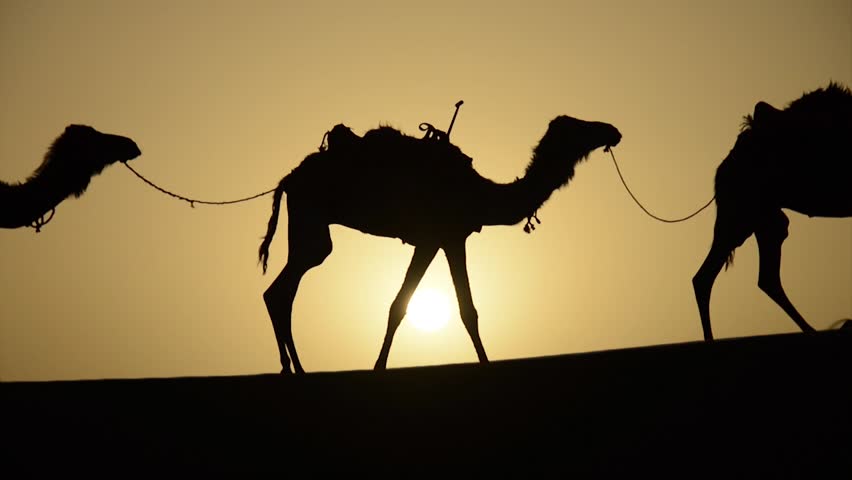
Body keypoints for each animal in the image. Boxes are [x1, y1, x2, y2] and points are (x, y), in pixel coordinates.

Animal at [256, 114, 624, 374]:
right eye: (578, 126)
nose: (612, 131)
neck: (482, 194)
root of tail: (289, 178)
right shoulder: (439, 238)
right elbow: (417, 307)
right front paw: (379, 367)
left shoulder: (448, 239)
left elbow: (461, 309)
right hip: (311, 218)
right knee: (285, 286)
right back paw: (296, 369)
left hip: (308, 222)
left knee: (281, 290)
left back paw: (293, 368)